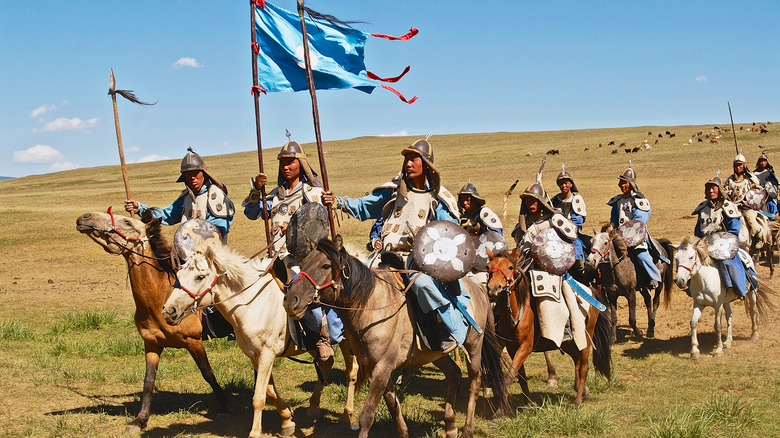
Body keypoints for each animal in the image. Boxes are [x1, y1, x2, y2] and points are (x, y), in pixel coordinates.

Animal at [74, 210, 229, 434]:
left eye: (127, 222)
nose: (85, 217)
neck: (159, 296)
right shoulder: (151, 344)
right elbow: (148, 381)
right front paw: (140, 420)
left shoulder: (193, 341)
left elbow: (207, 373)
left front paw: (224, 408)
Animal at [164, 238, 360, 438]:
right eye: (178, 273)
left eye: (200, 277)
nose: (168, 310)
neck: (252, 303)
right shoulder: (255, 356)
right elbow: (269, 391)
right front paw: (287, 421)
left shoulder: (267, 354)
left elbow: (258, 397)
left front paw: (255, 432)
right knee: (326, 363)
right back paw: (313, 410)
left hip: (347, 340)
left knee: (352, 372)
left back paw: (346, 416)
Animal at [282, 236, 512, 438]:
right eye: (302, 264)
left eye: (325, 266)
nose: (291, 300)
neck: (370, 305)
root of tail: (479, 288)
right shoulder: (379, 367)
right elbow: (393, 406)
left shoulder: (382, 368)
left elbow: (367, 416)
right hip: (435, 353)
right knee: (454, 373)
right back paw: (450, 427)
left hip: (474, 346)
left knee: (474, 383)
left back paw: (467, 430)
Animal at [488, 248, 608, 406]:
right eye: (488, 267)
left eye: (510, 267)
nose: (493, 288)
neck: (518, 311)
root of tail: (591, 291)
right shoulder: (513, 347)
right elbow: (521, 377)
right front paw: (528, 404)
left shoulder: (525, 346)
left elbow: (509, 377)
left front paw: (501, 409)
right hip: (569, 343)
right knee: (576, 361)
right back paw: (581, 390)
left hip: (586, 337)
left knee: (584, 366)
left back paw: (577, 400)